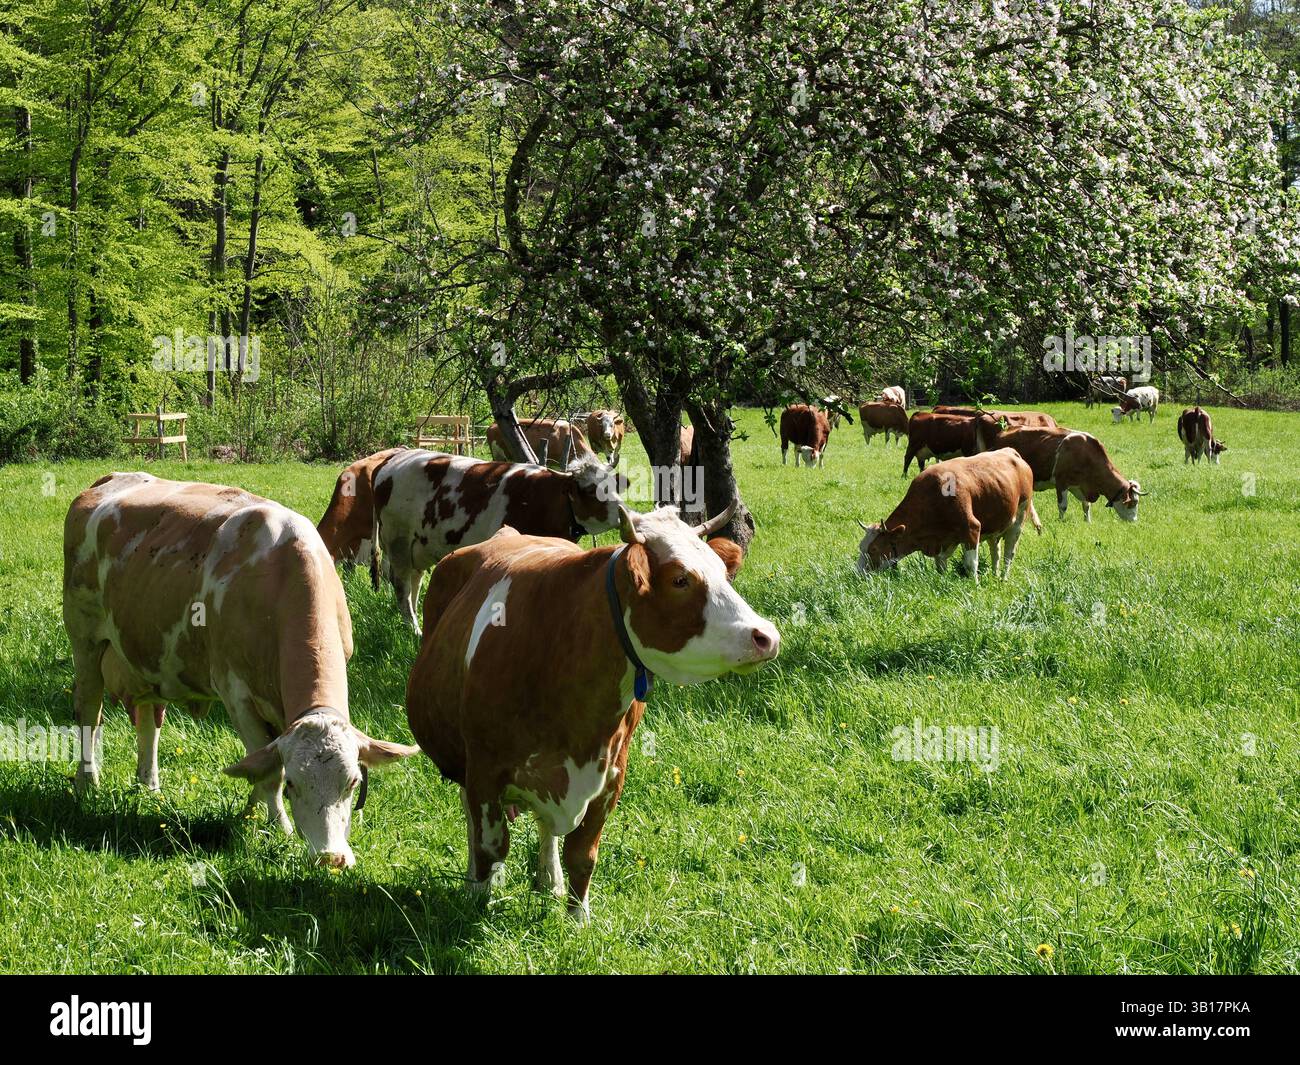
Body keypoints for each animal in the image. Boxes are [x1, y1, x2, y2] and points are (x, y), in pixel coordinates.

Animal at [63, 473, 418, 866]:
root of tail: (113, 479)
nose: (331, 858)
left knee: (147, 721)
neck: (281, 578)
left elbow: (260, 762)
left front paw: (251, 814)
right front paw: (279, 828)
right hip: (84, 639)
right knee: (89, 712)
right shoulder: (236, 694)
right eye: (294, 784)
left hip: (145, 656)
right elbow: (266, 768)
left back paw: (148, 787)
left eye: (353, 782)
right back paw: (87, 783)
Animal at [370, 450, 626, 633]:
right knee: (402, 587)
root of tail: (391, 460)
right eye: (590, 490)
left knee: (414, 582)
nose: (624, 513)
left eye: (614, 486)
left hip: (418, 547)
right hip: (399, 543)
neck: (549, 500)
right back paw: (414, 629)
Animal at [405, 501, 780, 923]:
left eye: (721, 571)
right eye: (681, 579)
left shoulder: (612, 774)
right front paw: (479, 902)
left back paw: (548, 880)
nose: (766, 636)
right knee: (474, 822)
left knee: (546, 828)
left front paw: (578, 919)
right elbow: (490, 843)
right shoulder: (485, 768)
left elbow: (582, 854)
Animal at [856, 449, 1042, 582]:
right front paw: (943, 581)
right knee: (995, 549)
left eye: (873, 549)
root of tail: (1011, 452)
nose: (857, 574)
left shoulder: (971, 528)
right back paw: (995, 575)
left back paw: (1003, 578)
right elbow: (940, 564)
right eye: (861, 547)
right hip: (995, 523)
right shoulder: (944, 540)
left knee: (1009, 553)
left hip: (1018, 521)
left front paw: (974, 585)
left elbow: (971, 563)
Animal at [980, 424, 1145, 521]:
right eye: (1133, 502)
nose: (1134, 521)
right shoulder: (1061, 482)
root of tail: (1002, 433)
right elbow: (1063, 505)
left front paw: (1088, 522)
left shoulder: (1082, 486)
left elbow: (1086, 506)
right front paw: (1061, 522)